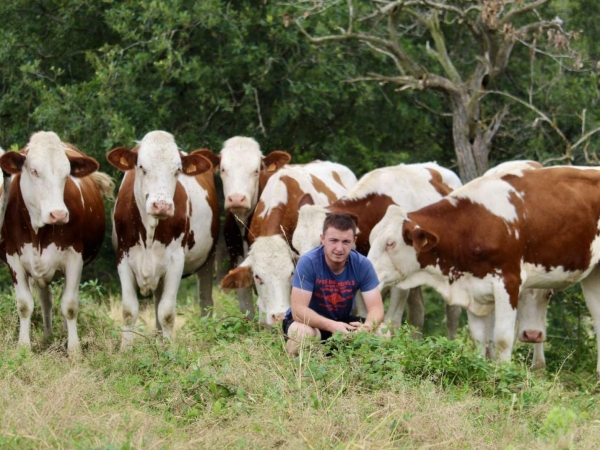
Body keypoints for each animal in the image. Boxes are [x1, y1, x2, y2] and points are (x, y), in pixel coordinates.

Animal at [0, 131, 113, 356]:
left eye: (66, 174)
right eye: (34, 171)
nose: (58, 214)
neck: (37, 231)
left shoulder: (75, 258)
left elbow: (70, 305)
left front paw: (75, 350)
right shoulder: (13, 257)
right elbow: (24, 305)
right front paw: (23, 347)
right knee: (45, 299)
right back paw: (47, 337)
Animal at [108, 130, 220, 348]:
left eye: (177, 170)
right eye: (141, 167)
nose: (162, 205)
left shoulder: (176, 260)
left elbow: (167, 313)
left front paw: (169, 350)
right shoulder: (122, 257)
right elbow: (129, 310)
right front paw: (125, 350)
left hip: (207, 259)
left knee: (205, 301)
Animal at [292, 163, 462, 336]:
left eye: (320, 243)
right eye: (296, 248)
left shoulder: (398, 281)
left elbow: (391, 322)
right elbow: (364, 314)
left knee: (452, 314)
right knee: (417, 313)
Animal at [366, 165, 600, 376]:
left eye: (390, 243)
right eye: (371, 239)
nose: (369, 273)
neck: (472, 226)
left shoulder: (509, 282)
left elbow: (503, 338)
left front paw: (503, 376)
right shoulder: (473, 289)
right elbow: (478, 338)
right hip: (593, 277)